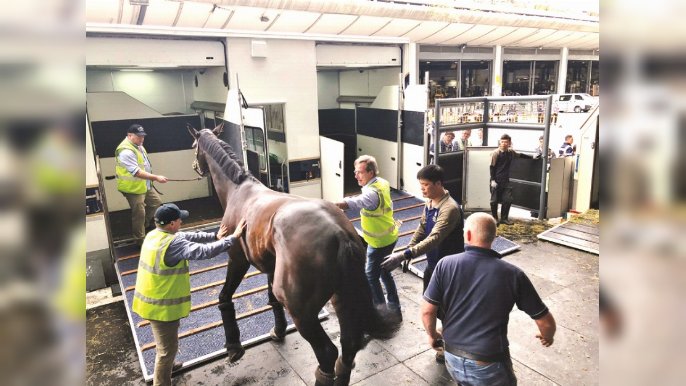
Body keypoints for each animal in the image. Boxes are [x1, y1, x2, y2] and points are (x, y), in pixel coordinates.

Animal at [188, 125, 404, 384]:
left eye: (194, 146)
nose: (196, 167)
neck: (239, 191)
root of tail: (339, 232)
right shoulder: (270, 267)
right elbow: (272, 300)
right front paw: (278, 330)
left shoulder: (237, 260)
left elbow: (224, 297)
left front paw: (233, 346)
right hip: (342, 298)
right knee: (348, 346)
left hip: (303, 312)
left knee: (327, 353)